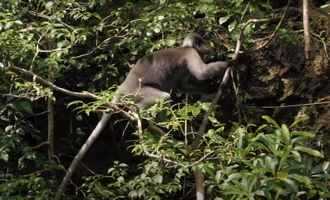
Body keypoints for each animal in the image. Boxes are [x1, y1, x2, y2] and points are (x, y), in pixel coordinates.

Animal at [54, 32, 229, 198]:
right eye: (204, 43)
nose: (210, 48)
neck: (185, 47)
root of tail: (123, 87)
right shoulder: (190, 54)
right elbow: (202, 73)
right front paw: (230, 62)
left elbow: (186, 85)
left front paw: (213, 88)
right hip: (137, 93)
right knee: (163, 97)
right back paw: (139, 116)